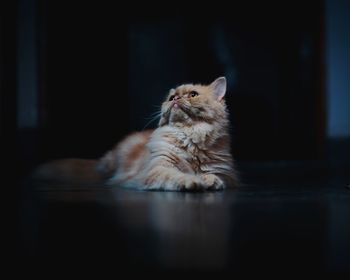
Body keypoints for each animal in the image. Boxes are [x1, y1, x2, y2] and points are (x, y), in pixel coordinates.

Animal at [33, 76, 238, 190]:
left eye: (193, 95)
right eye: (172, 97)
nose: (175, 99)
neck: (190, 137)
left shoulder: (227, 173)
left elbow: (216, 176)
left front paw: (209, 180)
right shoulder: (159, 167)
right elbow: (176, 176)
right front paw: (193, 181)